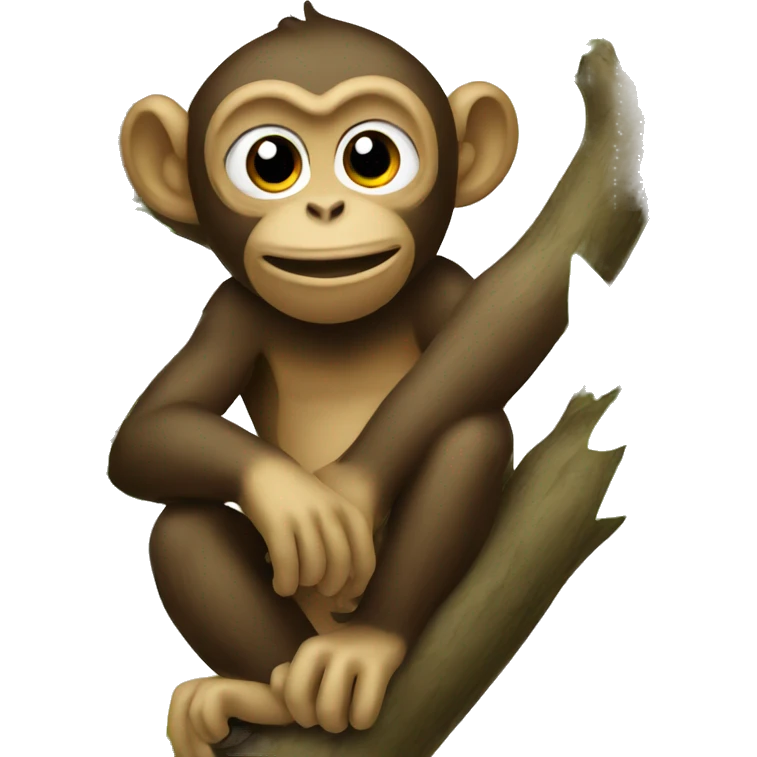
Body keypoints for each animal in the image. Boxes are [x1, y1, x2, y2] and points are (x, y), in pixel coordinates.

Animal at [113, 6, 645, 755]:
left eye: (371, 158)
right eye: (269, 163)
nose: (326, 210)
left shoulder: (441, 285)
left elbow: (498, 332)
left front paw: (346, 492)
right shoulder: (230, 315)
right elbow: (150, 428)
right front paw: (298, 502)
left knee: (469, 434)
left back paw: (363, 648)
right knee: (182, 525)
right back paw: (262, 696)